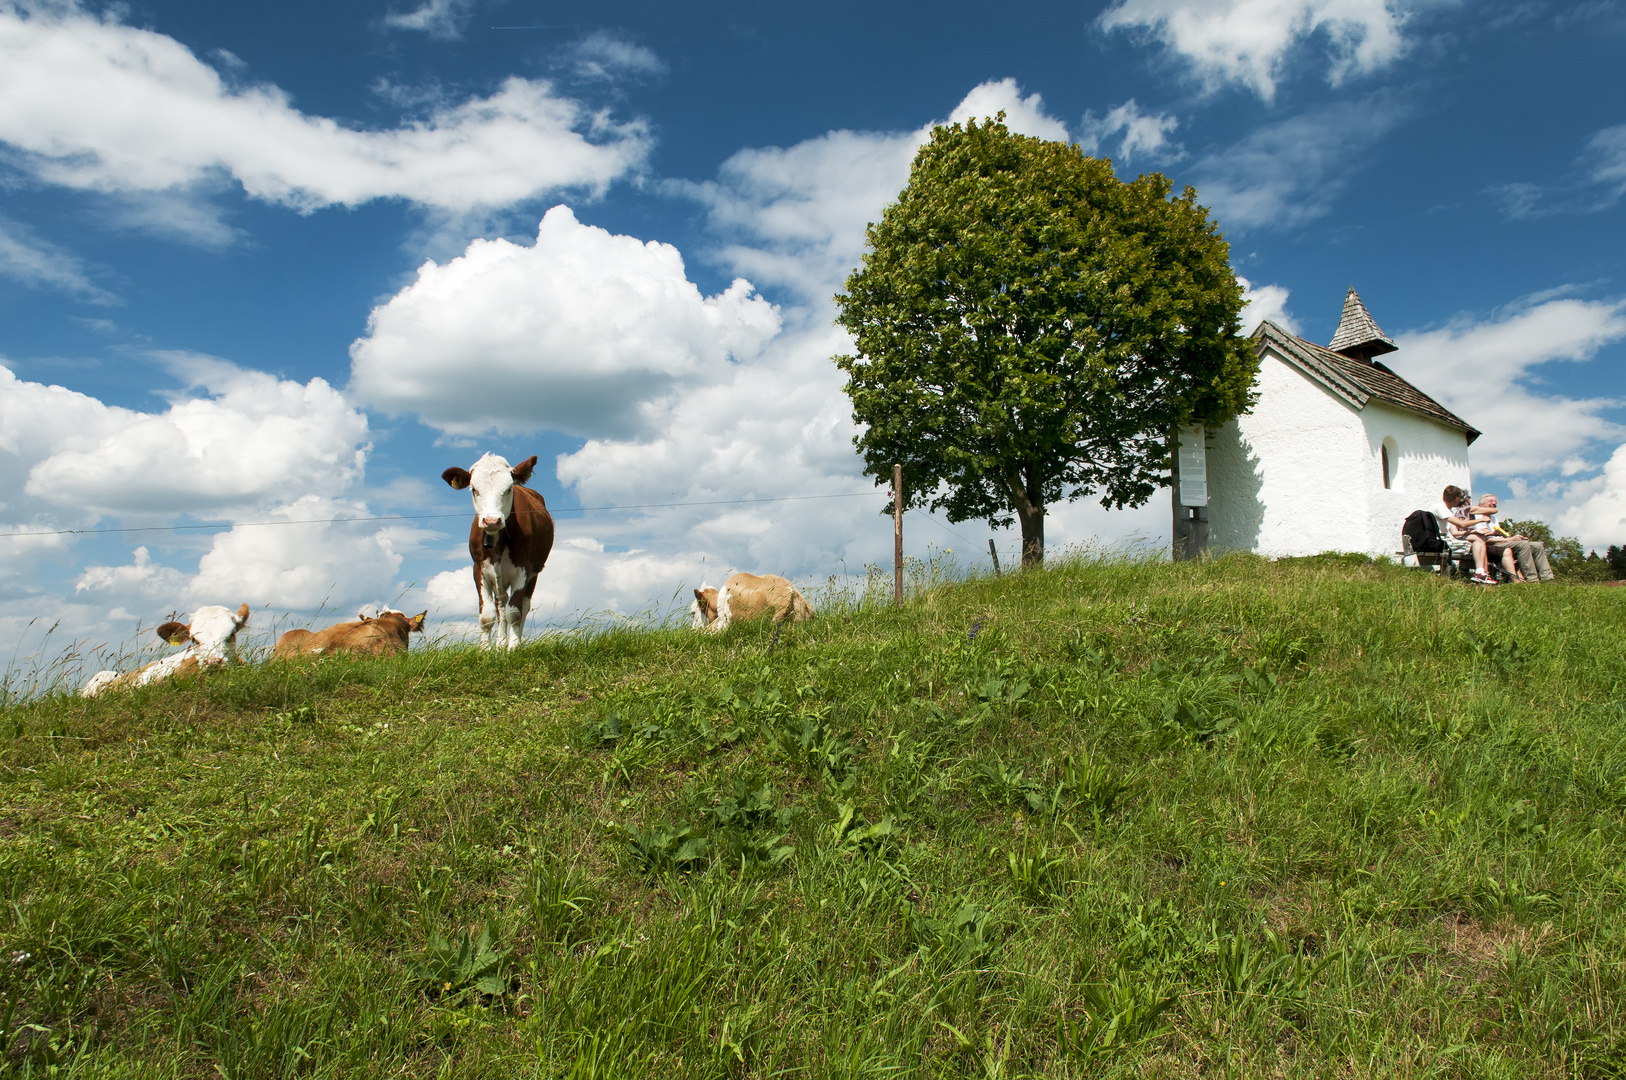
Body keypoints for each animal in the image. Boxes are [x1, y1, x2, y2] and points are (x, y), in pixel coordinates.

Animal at [442, 448, 556, 650]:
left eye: (509, 489)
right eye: (474, 489)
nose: (492, 520)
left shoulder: (523, 569)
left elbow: (515, 612)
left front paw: (513, 648)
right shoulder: (478, 569)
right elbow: (487, 615)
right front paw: (486, 650)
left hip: (534, 573)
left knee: (523, 606)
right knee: (501, 604)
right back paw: (500, 644)